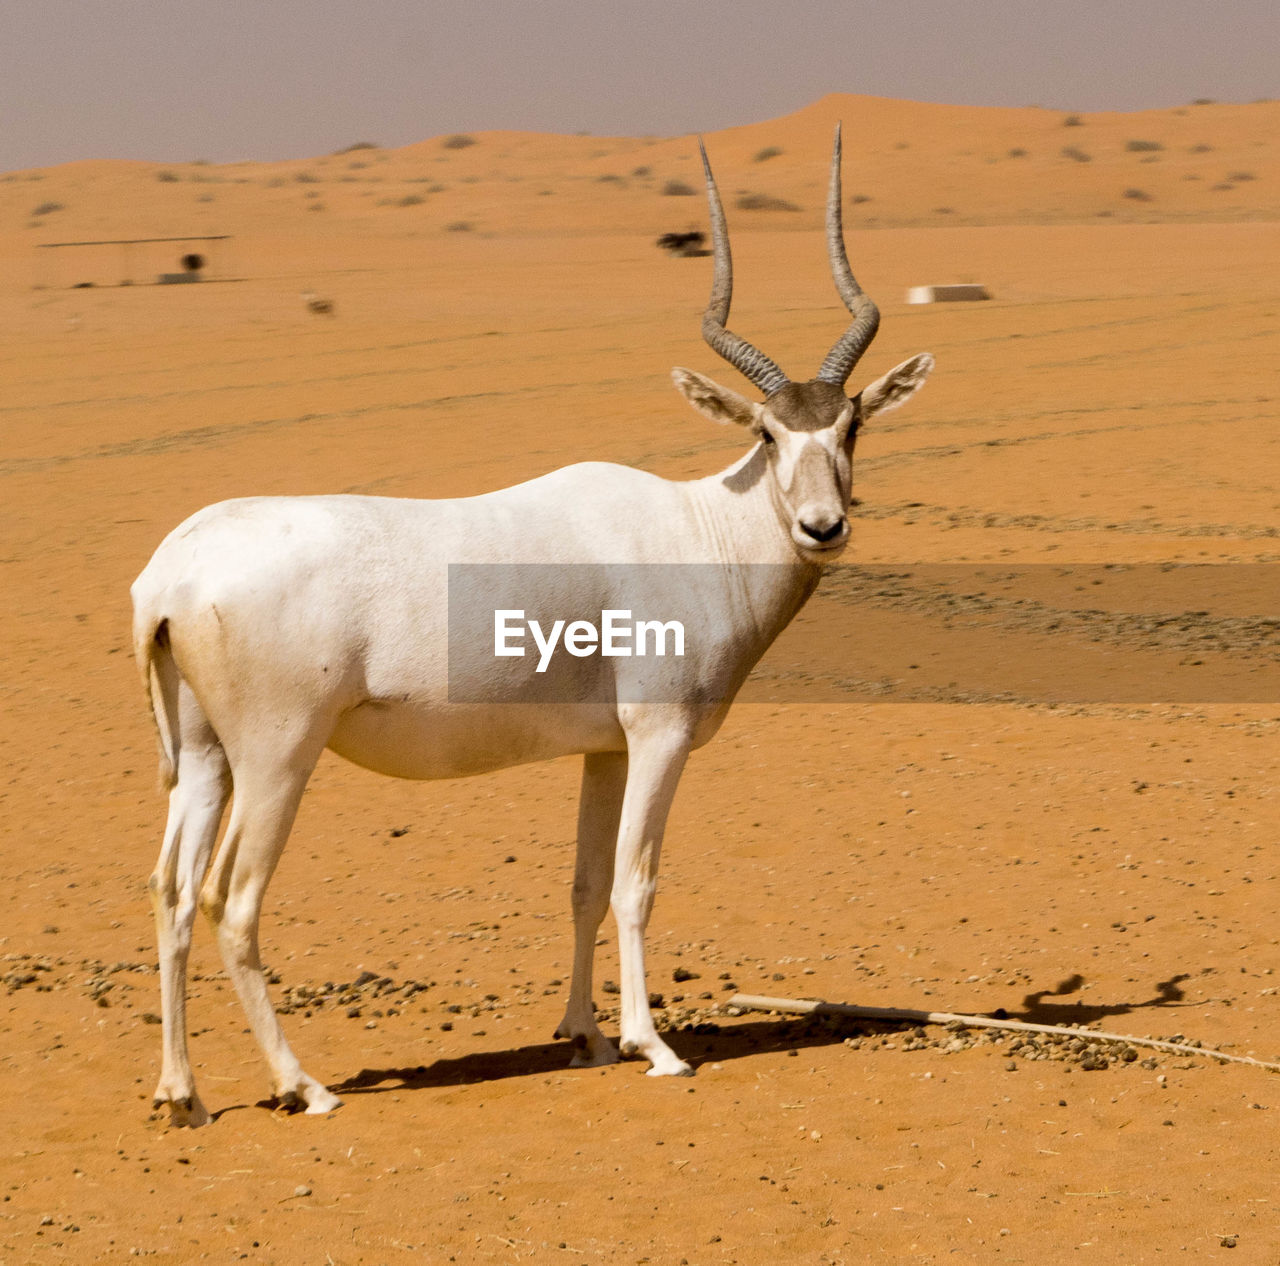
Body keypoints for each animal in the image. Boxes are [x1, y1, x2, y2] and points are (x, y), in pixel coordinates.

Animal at [135, 123, 931, 1121]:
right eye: (768, 434)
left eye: (851, 427)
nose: (823, 527)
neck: (697, 527)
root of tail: (173, 572)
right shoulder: (660, 735)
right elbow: (636, 882)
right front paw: (652, 1046)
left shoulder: (606, 749)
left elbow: (586, 884)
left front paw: (586, 1037)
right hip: (278, 758)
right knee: (230, 901)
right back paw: (302, 1086)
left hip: (204, 759)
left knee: (170, 891)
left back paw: (184, 1094)